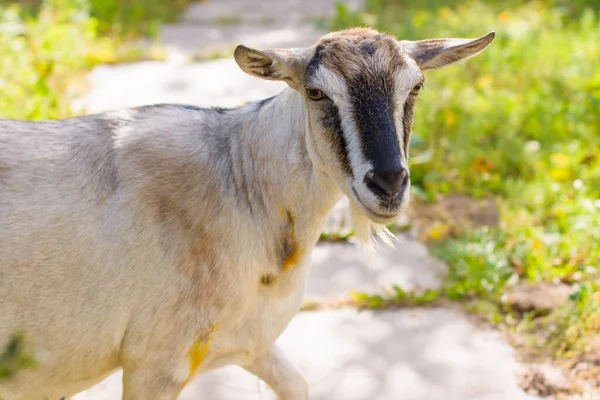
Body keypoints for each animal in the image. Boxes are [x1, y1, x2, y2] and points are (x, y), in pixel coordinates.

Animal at [1, 28, 492, 400]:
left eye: (416, 86)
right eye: (315, 92)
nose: (388, 185)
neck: (238, 178)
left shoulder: (251, 342)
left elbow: (297, 385)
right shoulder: (154, 363)